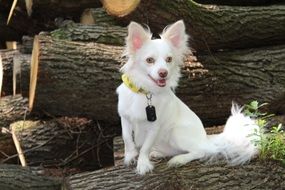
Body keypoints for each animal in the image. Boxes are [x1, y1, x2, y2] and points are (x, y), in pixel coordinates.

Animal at [116, 20, 260, 174]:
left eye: (169, 59)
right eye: (149, 60)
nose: (163, 73)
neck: (146, 92)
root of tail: (205, 139)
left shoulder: (154, 126)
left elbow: (145, 147)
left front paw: (143, 164)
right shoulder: (125, 118)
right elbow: (126, 138)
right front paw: (130, 156)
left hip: (176, 133)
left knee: (201, 152)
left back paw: (179, 160)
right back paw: (158, 153)